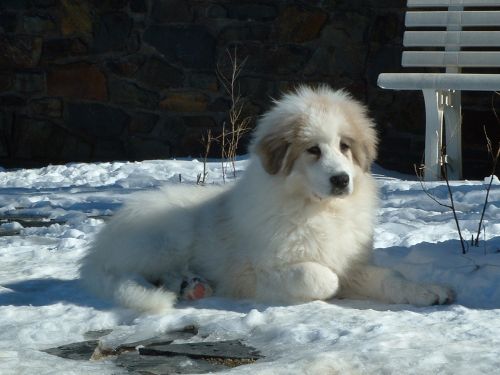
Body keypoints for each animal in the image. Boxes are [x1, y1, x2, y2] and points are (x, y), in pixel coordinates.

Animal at [80, 86, 456, 314]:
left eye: (344, 146)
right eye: (312, 150)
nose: (341, 179)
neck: (318, 210)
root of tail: (97, 249)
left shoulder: (349, 259)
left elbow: (390, 276)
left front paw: (428, 290)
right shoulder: (260, 269)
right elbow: (320, 277)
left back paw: (194, 287)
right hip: (167, 234)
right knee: (136, 273)